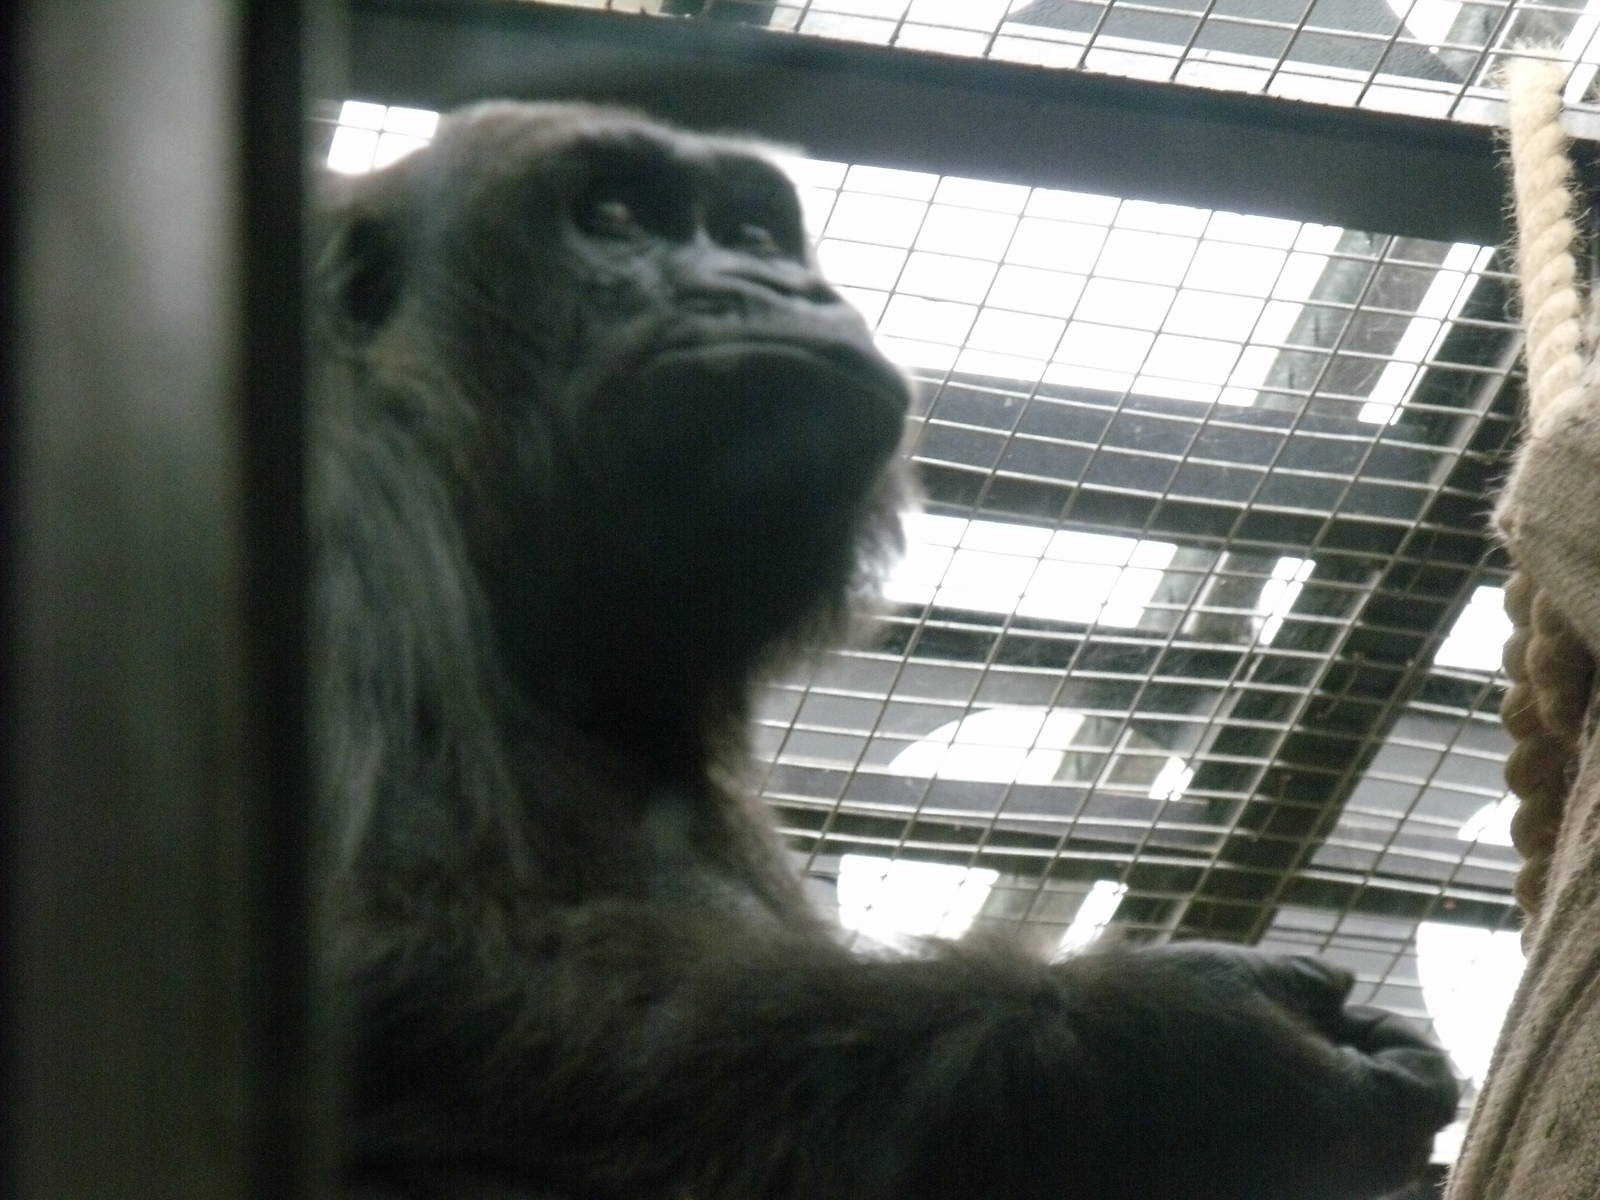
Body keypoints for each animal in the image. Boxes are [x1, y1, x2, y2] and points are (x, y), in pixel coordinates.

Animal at [311, 101, 1460, 1200]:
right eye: (612, 217)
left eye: (751, 229)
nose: (769, 277)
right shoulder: (351, 500)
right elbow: (383, 963)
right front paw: (1191, 1059)